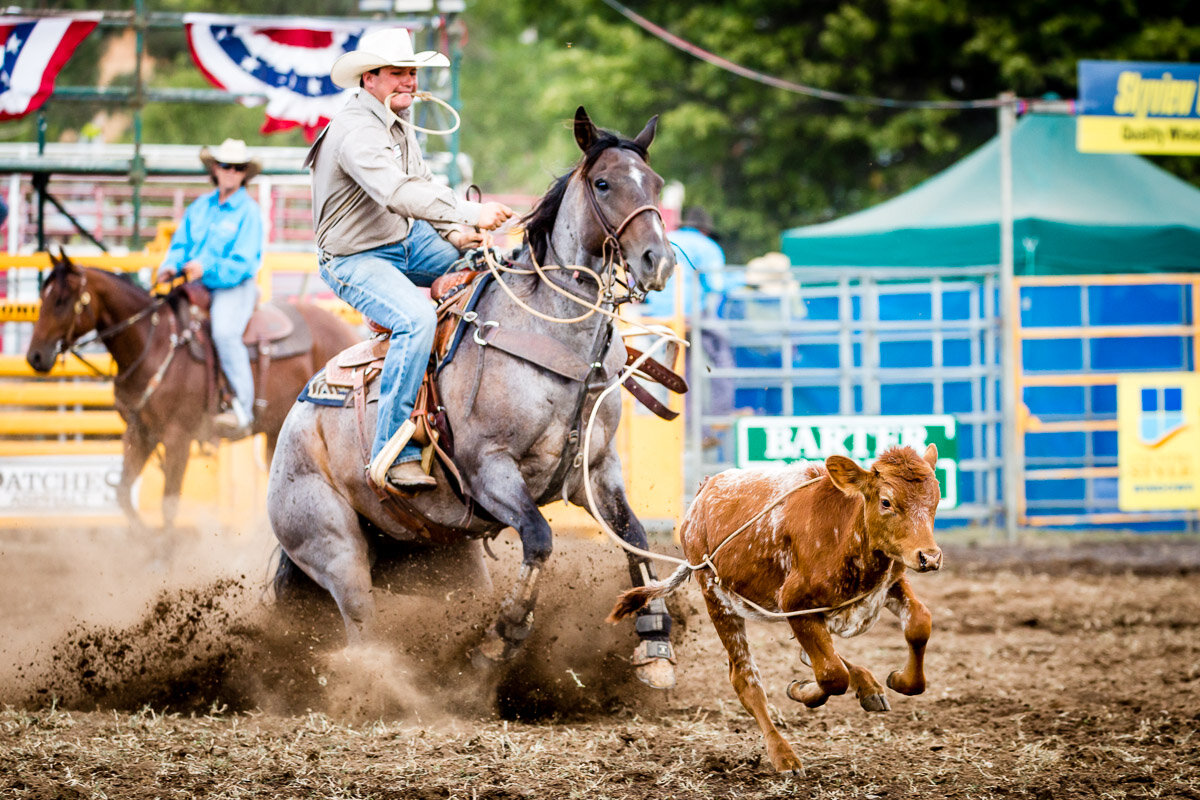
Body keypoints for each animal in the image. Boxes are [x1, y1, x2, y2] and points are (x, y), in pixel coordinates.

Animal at [27, 253, 355, 534]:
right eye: (42, 297)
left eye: (61, 300)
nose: (35, 356)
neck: (155, 344)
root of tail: (346, 330)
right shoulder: (140, 432)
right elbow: (122, 494)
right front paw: (149, 544)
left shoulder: (177, 437)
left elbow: (169, 505)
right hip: (278, 432)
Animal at [274, 107, 686, 690]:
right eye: (604, 183)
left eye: (653, 182)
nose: (657, 261)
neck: (553, 337)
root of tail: (292, 425)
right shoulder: (490, 468)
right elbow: (539, 537)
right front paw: (501, 637)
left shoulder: (597, 468)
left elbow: (636, 536)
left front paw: (655, 643)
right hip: (333, 548)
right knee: (361, 627)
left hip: (442, 558)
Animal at [609, 448, 945, 772]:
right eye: (886, 502)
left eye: (936, 498)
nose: (929, 557)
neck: (843, 534)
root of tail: (704, 490)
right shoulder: (795, 605)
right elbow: (831, 675)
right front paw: (804, 691)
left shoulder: (890, 582)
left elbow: (919, 624)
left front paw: (899, 680)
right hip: (716, 596)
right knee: (746, 678)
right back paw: (783, 755)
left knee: (816, 654)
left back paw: (867, 686)